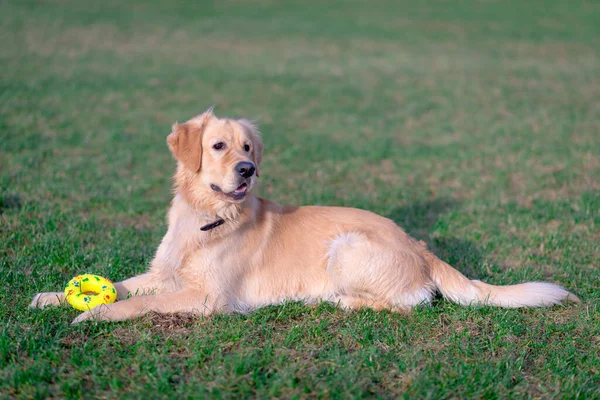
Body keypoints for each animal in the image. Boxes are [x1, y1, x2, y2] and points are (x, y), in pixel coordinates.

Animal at [30, 108, 580, 324]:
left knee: (412, 304)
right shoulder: (166, 273)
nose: (248, 169)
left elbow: (138, 304)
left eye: (247, 147)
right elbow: (124, 284)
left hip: (347, 245)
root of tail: (420, 247)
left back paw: (344, 301)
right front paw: (53, 296)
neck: (207, 217)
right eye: (219, 146)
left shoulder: (209, 299)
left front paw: (93, 315)